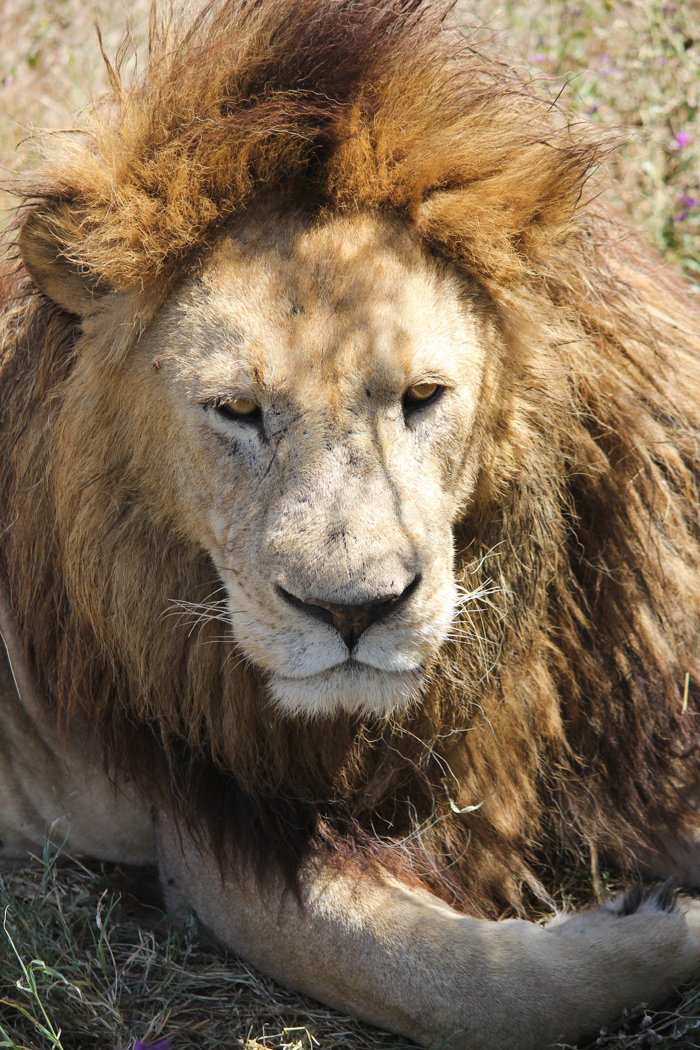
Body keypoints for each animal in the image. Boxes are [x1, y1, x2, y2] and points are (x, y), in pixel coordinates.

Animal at [4, 0, 700, 1045]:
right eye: (236, 410)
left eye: (421, 396)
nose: (353, 612)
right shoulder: (213, 831)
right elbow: (472, 987)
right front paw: (659, 924)